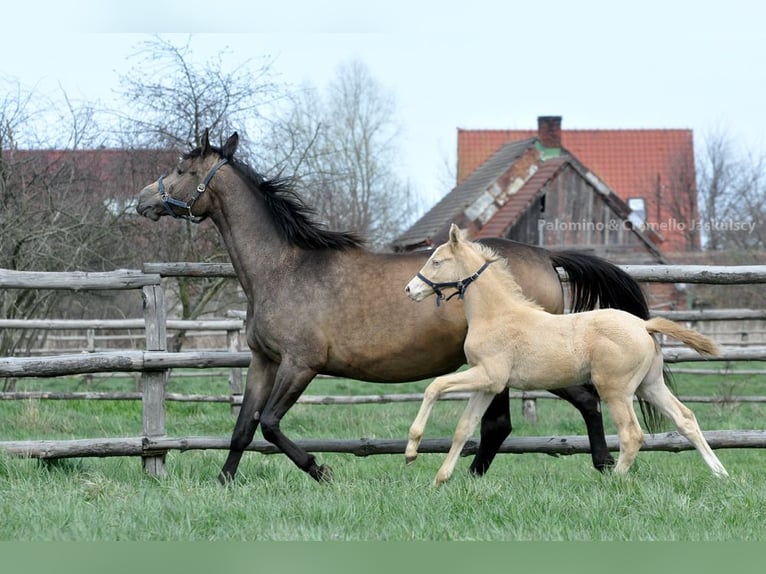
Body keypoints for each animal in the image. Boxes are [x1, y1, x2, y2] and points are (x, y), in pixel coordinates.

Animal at [136, 129, 655, 484]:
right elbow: (243, 427)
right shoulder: (264, 361)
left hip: (528, 363)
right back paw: (475, 478)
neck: (282, 268)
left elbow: (269, 424)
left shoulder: (300, 364)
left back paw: (601, 466)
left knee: (577, 401)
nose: (141, 201)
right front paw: (223, 482)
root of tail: (546, 256)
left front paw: (321, 471)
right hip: (501, 370)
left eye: (182, 168)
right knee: (504, 424)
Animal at [404, 224, 729, 485]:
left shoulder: (488, 376)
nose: (410, 289)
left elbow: (435, 387)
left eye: (436, 261)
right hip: (650, 385)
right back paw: (720, 473)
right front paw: (440, 479)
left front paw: (411, 452)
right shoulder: (488, 385)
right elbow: (464, 428)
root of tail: (643, 324)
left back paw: (613, 481)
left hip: (615, 389)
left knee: (631, 435)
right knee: (685, 419)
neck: (496, 315)